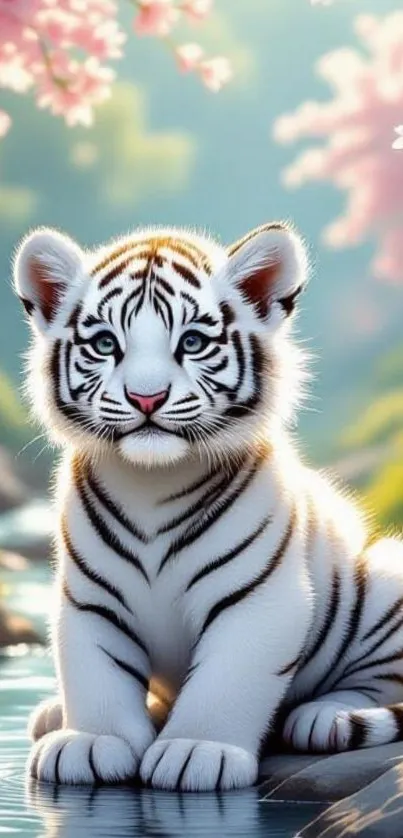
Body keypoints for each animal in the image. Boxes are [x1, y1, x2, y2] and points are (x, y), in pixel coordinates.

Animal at [13, 220, 403, 792]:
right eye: (106, 343)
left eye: (192, 342)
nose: (146, 398)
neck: (151, 481)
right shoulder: (89, 598)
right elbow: (96, 670)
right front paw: (92, 742)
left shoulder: (259, 599)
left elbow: (227, 679)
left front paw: (198, 750)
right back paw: (50, 714)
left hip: (384, 582)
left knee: (379, 683)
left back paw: (327, 717)